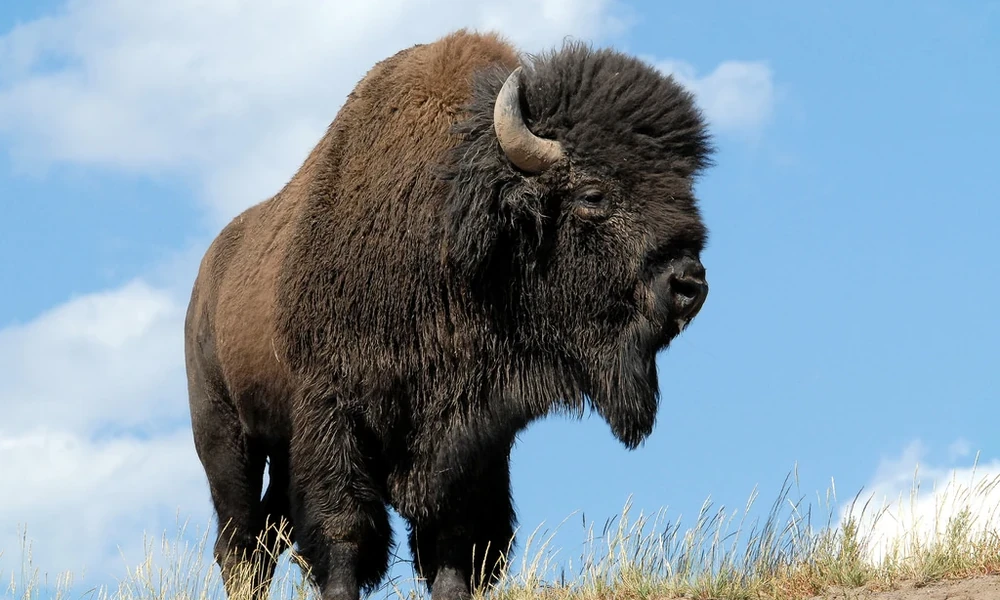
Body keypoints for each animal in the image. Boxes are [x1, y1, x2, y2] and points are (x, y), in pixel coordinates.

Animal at [184, 29, 714, 600]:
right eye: (593, 194)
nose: (689, 284)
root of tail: (204, 282)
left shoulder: (476, 430)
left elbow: (457, 525)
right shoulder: (333, 410)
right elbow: (344, 525)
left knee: (267, 533)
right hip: (225, 435)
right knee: (241, 539)